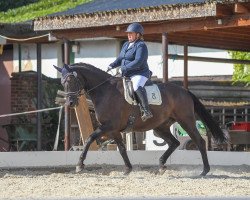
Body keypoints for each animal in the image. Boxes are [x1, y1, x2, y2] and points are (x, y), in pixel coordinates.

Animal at [54, 63, 227, 176]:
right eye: (62, 82)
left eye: (71, 81)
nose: (70, 103)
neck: (105, 91)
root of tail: (184, 91)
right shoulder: (113, 129)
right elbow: (122, 148)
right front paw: (128, 169)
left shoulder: (108, 126)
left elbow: (89, 139)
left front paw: (79, 165)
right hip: (160, 127)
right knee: (174, 143)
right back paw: (162, 165)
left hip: (186, 121)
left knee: (199, 141)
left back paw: (204, 171)